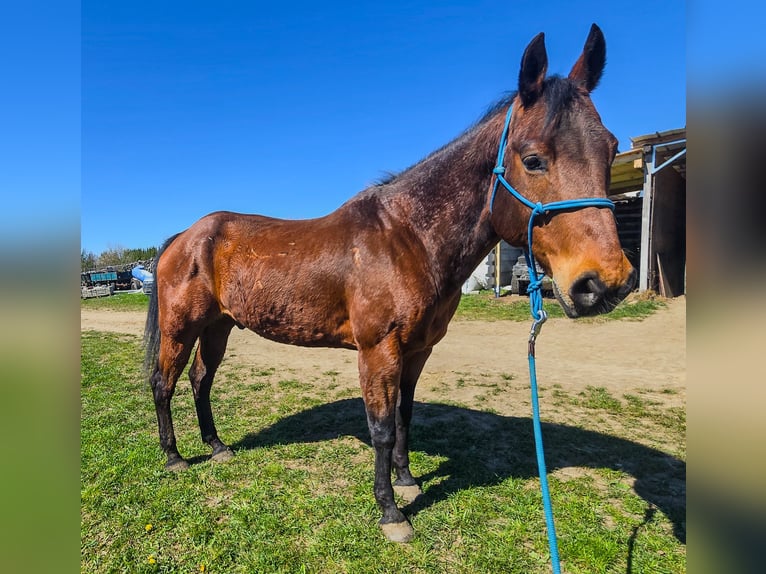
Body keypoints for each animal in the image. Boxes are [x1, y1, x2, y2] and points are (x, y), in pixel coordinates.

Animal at [144, 24, 637, 543]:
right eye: (534, 158)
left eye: (609, 147)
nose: (604, 283)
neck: (409, 236)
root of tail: (185, 237)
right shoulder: (378, 350)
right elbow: (380, 426)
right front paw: (391, 513)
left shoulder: (417, 350)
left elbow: (404, 416)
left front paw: (407, 480)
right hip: (181, 328)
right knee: (163, 382)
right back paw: (174, 457)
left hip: (218, 326)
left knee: (200, 380)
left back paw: (217, 446)